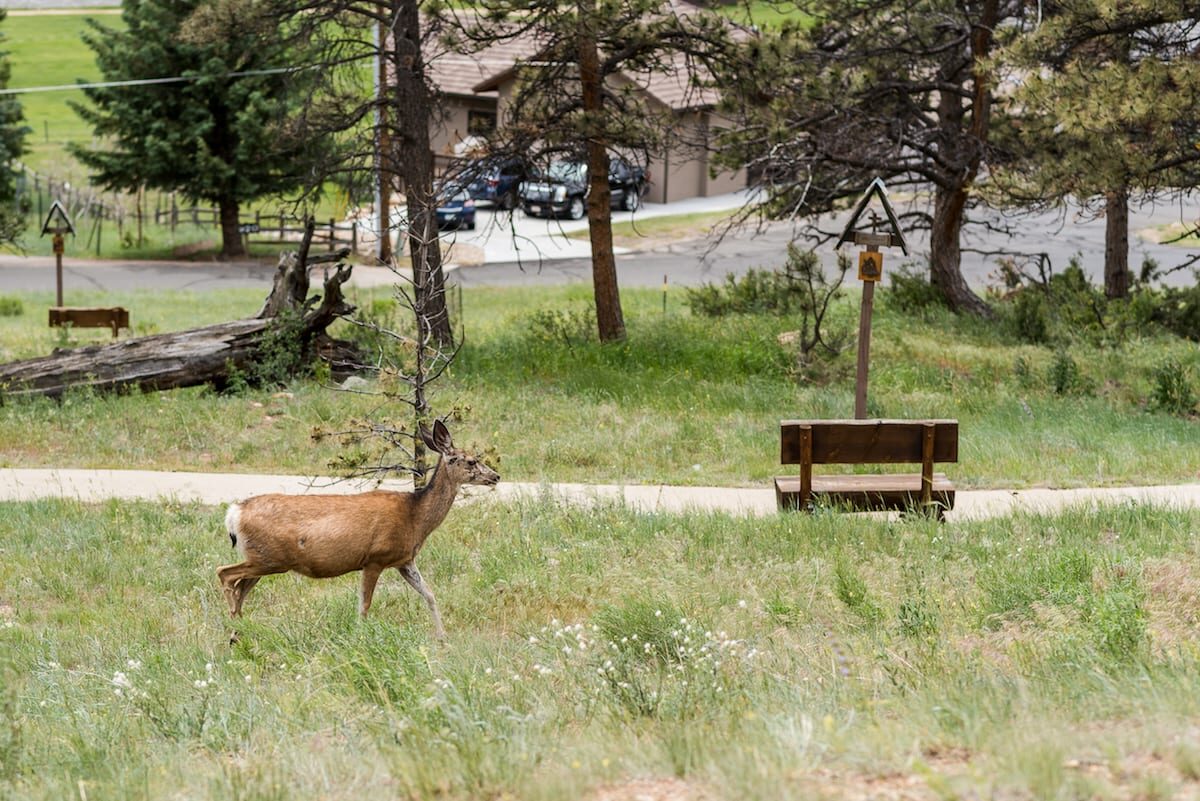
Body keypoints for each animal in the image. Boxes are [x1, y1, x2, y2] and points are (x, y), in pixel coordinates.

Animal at [216, 420, 499, 640]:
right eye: (471, 461)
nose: (495, 476)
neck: (415, 517)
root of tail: (234, 513)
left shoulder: (404, 560)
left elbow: (430, 594)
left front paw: (443, 637)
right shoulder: (376, 558)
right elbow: (364, 605)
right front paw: (361, 635)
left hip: (264, 559)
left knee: (240, 588)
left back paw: (240, 629)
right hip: (268, 558)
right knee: (225, 574)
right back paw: (233, 627)